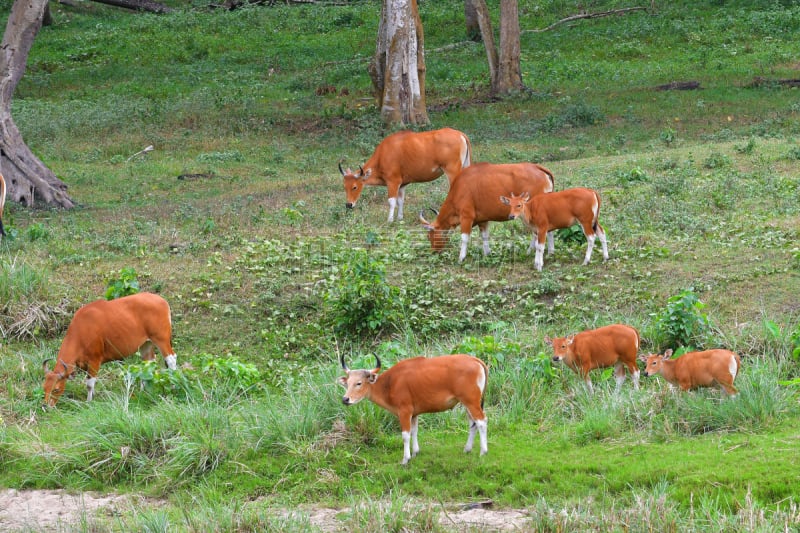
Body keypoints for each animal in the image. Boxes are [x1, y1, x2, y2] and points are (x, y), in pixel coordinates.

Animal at [41, 294, 177, 406]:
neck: (81, 331)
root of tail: (162, 300)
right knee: (148, 363)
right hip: (146, 344)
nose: (45, 406)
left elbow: (89, 384)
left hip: (161, 338)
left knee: (171, 360)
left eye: (56, 389)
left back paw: (173, 386)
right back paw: (143, 390)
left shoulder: (95, 360)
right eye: (44, 388)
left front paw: (88, 402)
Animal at [340, 126, 476, 220]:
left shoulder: (393, 181)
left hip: (452, 171)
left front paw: (390, 220)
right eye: (344, 187)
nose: (348, 204)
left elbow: (392, 201)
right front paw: (400, 218)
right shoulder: (402, 184)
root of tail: (460, 134)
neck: (382, 156)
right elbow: (401, 201)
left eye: (354, 187)